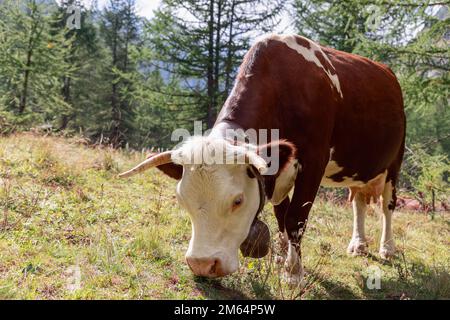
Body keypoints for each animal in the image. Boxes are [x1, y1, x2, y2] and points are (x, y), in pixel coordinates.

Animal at [118, 34, 406, 284]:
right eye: (182, 199)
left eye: (237, 201)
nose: (202, 264)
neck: (283, 89)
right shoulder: (276, 172)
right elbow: (281, 214)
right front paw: (281, 256)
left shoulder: (314, 162)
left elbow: (294, 218)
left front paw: (293, 272)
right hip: (361, 170)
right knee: (359, 202)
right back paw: (359, 244)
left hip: (395, 162)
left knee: (387, 205)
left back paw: (387, 247)